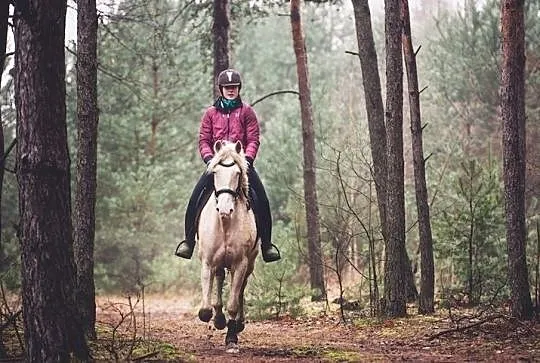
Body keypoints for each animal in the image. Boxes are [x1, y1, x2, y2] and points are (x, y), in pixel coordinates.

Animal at [196, 140, 260, 356]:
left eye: (238, 173)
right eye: (215, 172)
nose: (224, 209)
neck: (225, 224)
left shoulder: (240, 263)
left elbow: (233, 302)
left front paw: (231, 338)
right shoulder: (207, 262)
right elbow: (205, 310)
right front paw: (216, 319)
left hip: (248, 263)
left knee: (240, 289)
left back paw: (238, 323)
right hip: (219, 262)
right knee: (219, 278)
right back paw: (219, 318)